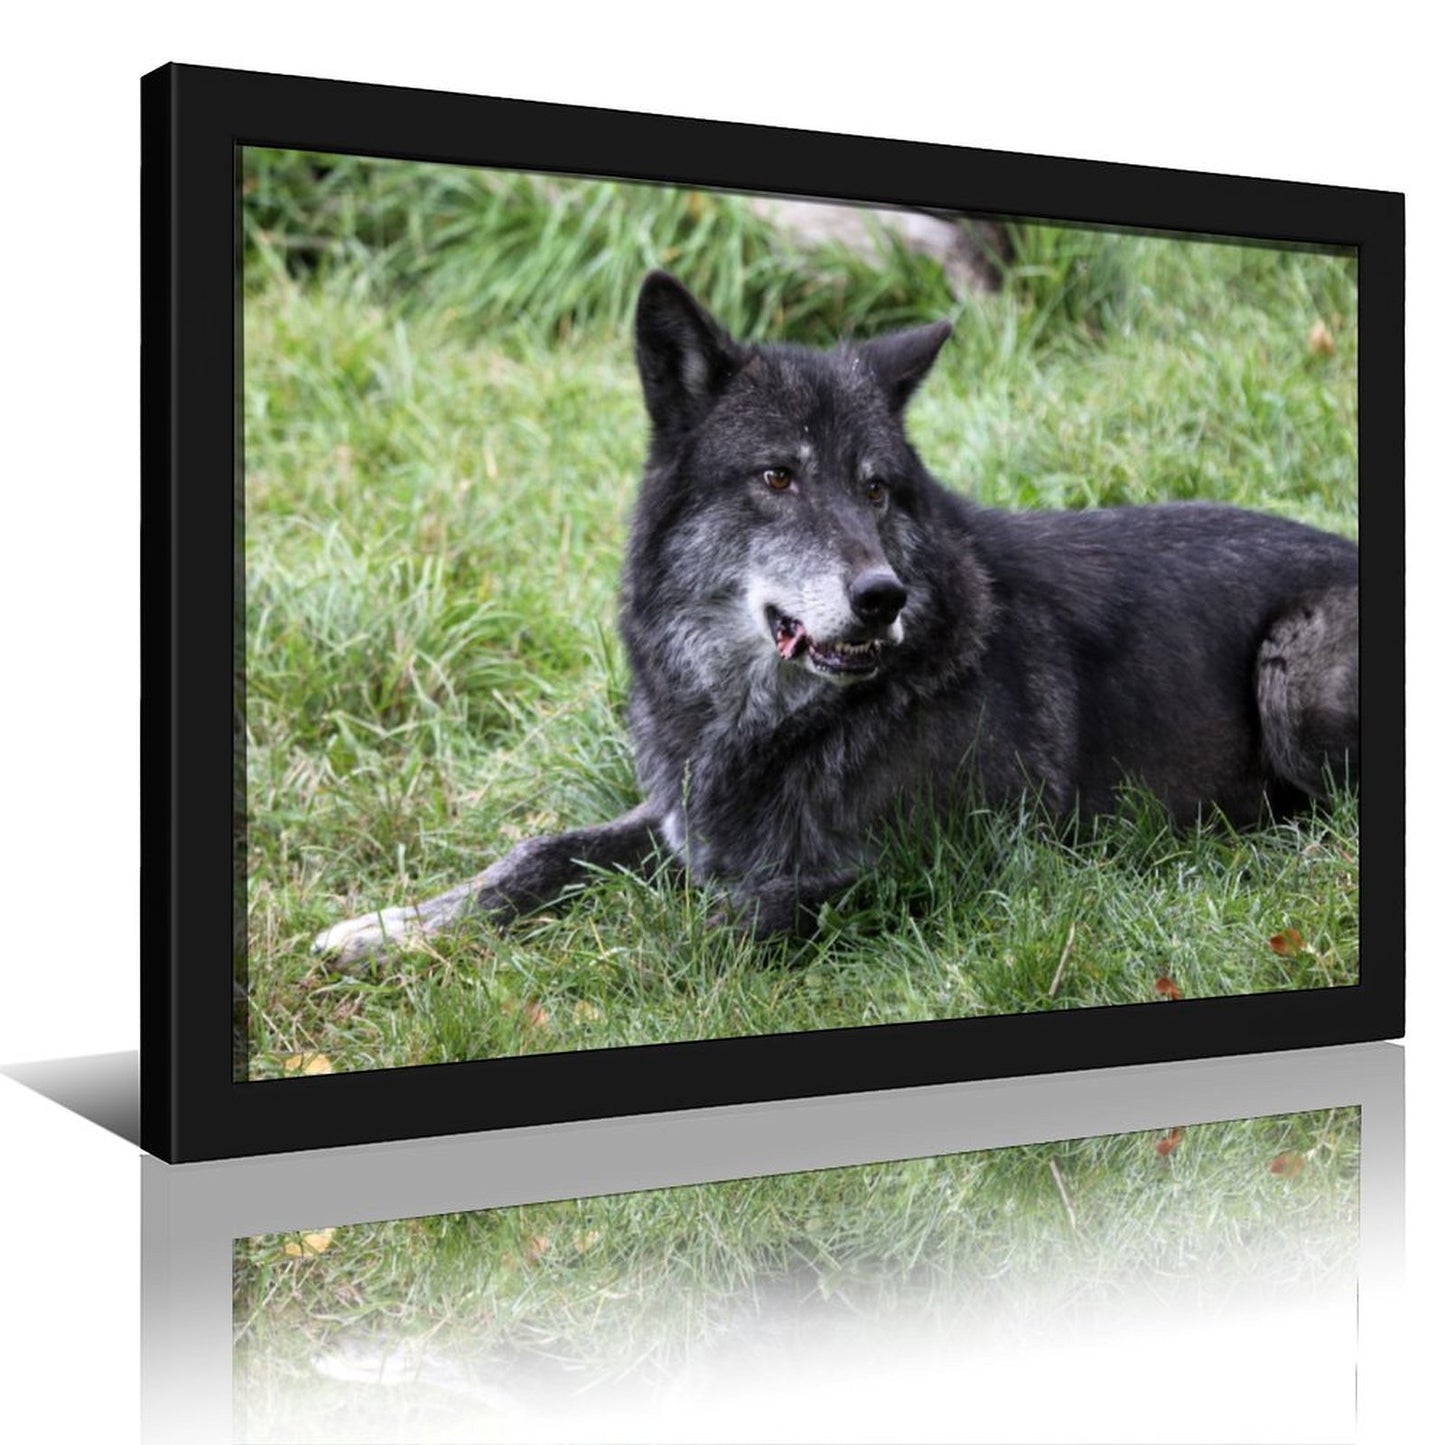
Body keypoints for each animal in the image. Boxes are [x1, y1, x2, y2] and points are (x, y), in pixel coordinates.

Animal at [313, 271, 1358, 966]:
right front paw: (391, 926)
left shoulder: (947, 869)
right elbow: (534, 855)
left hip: (1292, 664)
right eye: (777, 476)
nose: (880, 597)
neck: (767, 723)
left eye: (875, 489)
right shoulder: (678, 821)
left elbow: (707, 927)